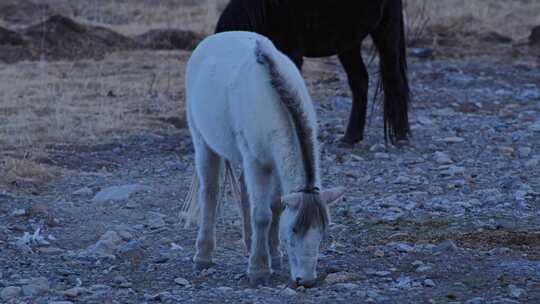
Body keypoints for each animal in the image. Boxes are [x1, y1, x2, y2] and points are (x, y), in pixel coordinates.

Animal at [186, 31, 346, 288]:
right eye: (294, 230)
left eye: (322, 232)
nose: (306, 281)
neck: (276, 102)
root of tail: (212, 40)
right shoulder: (257, 162)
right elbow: (262, 215)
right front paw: (259, 270)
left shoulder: (277, 164)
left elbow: (276, 207)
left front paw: (274, 256)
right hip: (202, 141)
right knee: (210, 194)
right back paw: (203, 256)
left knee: (244, 192)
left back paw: (249, 245)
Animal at [215, 0, 410, 144]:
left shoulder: (291, 53)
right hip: (348, 42)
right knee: (360, 80)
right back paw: (350, 138)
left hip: (386, 27)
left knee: (393, 76)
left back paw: (400, 135)